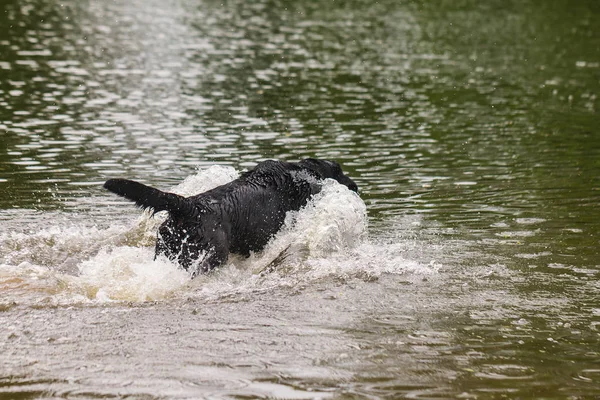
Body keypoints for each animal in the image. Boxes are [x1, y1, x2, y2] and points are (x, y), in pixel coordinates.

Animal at [103, 158, 358, 276]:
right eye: (339, 171)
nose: (355, 186)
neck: (298, 174)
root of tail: (189, 205)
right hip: (210, 256)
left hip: (166, 250)